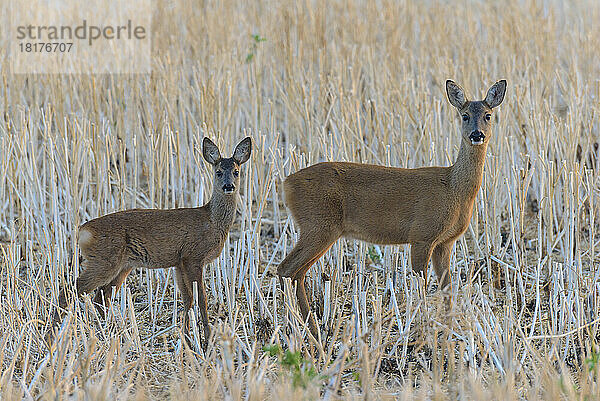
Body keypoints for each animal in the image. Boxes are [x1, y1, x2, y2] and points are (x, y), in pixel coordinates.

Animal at [75, 137, 253, 346]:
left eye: (236, 171)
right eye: (218, 172)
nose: (228, 186)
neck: (212, 221)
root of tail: (83, 231)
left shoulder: (179, 262)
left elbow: (187, 298)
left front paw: (187, 338)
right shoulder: (193, 257)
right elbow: (201, 298)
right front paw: (208, 340)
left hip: (122, 266)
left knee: (101, 298)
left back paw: (114, 333)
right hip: (104, 260)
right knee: (74, 288)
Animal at [276, 79, 506, 338]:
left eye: (488, 115)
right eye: (465, 115)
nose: (477, 135)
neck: (454, 189)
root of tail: (286, 183)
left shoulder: (445, 242)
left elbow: (447, 287)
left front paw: (450, 329)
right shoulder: (421, 235)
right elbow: (421, 285)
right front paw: (424, 329)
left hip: (319, 228)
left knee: (297, 273)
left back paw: (312, 329)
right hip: (318, 225)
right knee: (286, 269)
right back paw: (305, 329)